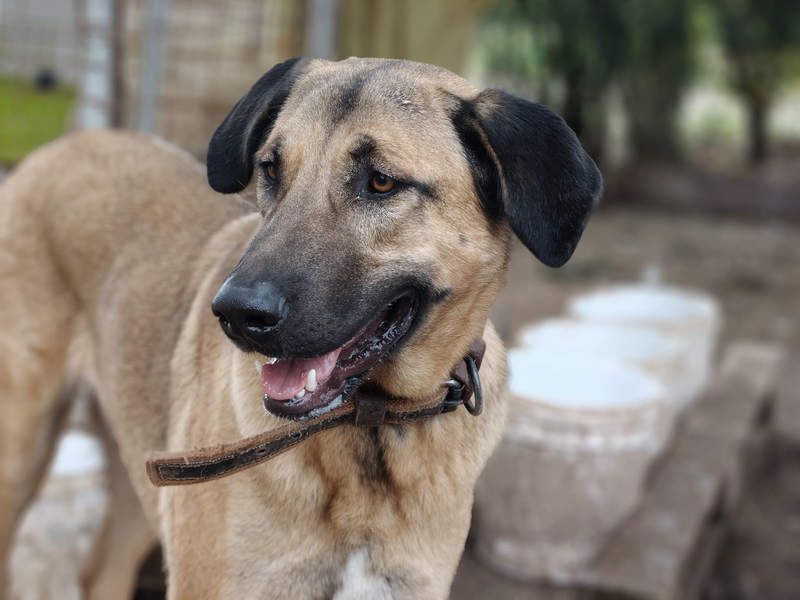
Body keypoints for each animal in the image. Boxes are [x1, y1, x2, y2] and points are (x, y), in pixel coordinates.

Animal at [0, 57, 601, 598]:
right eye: (271, 169)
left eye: (381, 181)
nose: (236, 313)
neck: (367, 430)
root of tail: (59, 147)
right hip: (22, 450)